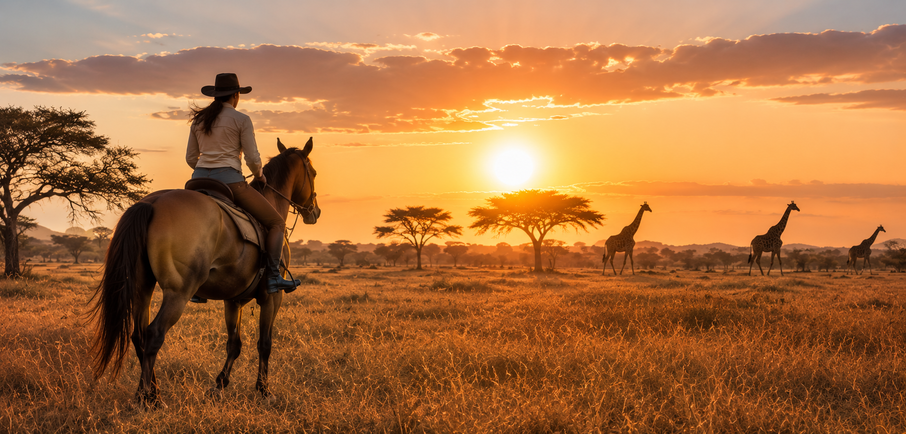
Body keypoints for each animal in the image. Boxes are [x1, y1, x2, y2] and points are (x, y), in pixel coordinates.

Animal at [89, 137, 320, 407]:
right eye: (313, 173)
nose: (315, 211)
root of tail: (152, 203)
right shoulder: (272, 297)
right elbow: (265, 343)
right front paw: (264, 390)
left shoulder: (233, 300)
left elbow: (234, 344)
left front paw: (219, 385)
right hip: (178, 293)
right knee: (154, 333)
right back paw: (149, 399)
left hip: (142, 288)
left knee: (139, 335)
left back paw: (149, 392)